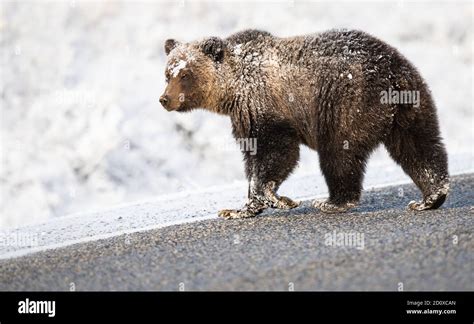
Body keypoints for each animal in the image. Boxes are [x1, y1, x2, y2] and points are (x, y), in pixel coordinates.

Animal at [158, 29, 448, 219]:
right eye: (167, 73)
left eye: (185, 74)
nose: (164, 99)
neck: (232, 90)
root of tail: (391, 71)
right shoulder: (245, 116)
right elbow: (254, 157)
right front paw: (239, 209)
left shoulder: (266, 108)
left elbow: (275, 153)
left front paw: (276, 199)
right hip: (411, 102)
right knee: (420, 146)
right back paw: (431, 197)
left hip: (345, 102)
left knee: (338, 152)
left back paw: (334, 201)